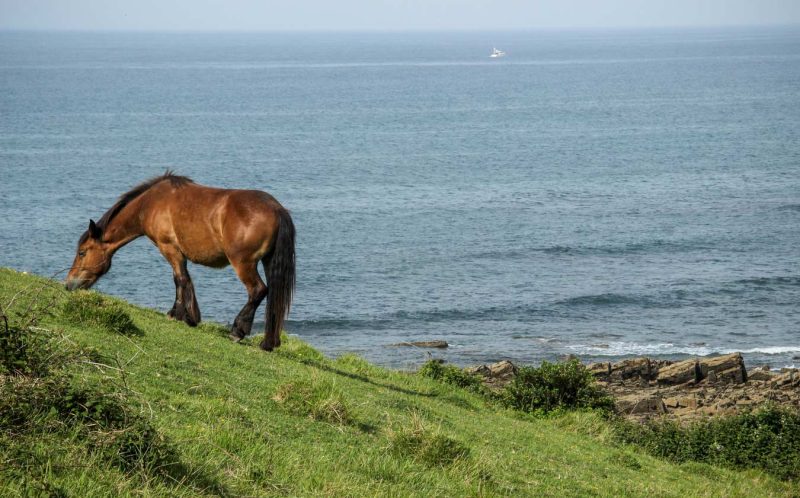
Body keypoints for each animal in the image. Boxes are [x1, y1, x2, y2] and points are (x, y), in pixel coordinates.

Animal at [65, 172, 295, 351]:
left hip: (243, 263)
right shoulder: (177, 253)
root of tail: (276, 209)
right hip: (267, 262)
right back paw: (268, 343)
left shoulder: (169, 248)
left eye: (82, 252)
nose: (69, 284)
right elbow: (183, 279)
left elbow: (179, 279)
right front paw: (185, 315)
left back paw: (237, 331)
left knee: (258, 290)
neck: (151, 203)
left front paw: (180, 315)